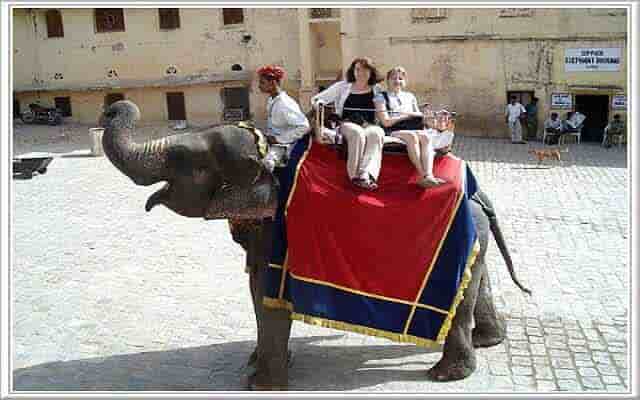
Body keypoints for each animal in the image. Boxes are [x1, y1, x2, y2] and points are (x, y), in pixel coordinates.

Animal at [101, 100, 528, 390]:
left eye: (184, 161)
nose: (112, 108)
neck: (272, 156)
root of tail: (476, 189)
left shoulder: (277, 230)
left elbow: (266, 294)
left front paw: (260, 385)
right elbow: (257, 292)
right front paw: (256, 363)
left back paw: (444, 375)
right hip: (473, 233)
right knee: (476, 282)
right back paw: (487, 341)